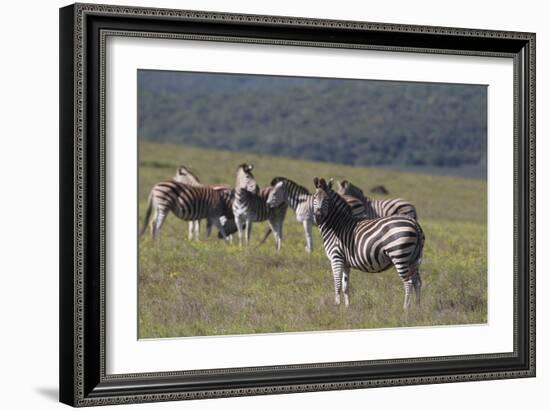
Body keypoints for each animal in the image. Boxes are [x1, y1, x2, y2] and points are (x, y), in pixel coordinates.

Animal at [312, 176, 424, 308]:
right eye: (314, 198)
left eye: (327, 199)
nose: (318, 216)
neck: (337, 226)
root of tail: (414, 223)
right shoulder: (345, 263)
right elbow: (345, 286)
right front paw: (347, 308)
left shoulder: (336, 258)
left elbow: (337, 285)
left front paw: (337, 306)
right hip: (413, 258)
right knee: (417, 282)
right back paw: (417, 308)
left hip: (399, 255)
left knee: (408, 282)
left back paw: (405, 308)